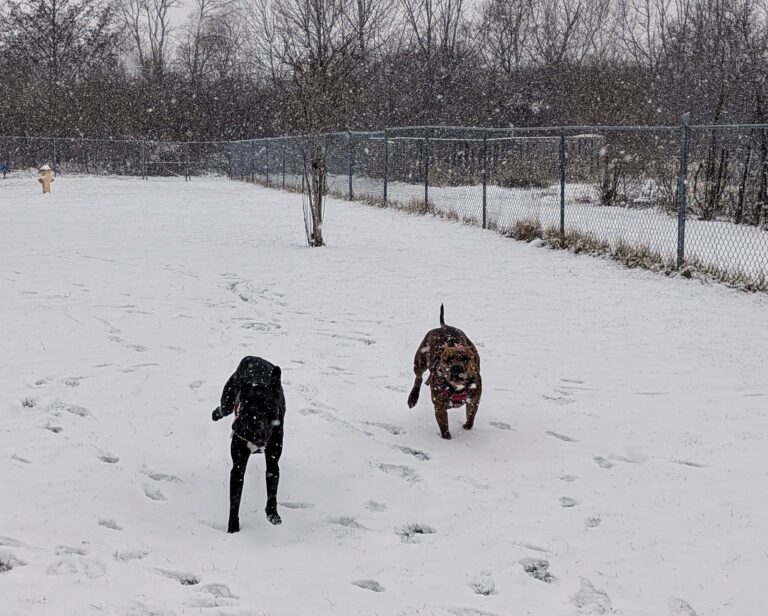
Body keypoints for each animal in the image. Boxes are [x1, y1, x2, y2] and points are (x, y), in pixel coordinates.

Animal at [212, 356, 285, 533]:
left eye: (268, 409)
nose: (238, 427)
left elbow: (272, 489)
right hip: (228, 401)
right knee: (223, 409)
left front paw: (272, 513)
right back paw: (215, 414)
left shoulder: (273, 461)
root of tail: (252, 357)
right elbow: (235, 501)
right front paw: (233, 528)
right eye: (246, 409)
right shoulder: (238, 467)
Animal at [407, 305, 482, 439]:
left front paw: (467, 426)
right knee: (418, 377)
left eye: (465, 358)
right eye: (448, 359)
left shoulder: (474, 400)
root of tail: (444, 326)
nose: (456, 367)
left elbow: (471, 416)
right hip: (420, 360)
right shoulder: (439, 407)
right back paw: (412, 398)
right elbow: (443, 424)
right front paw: (446, 437)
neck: (457, 389)